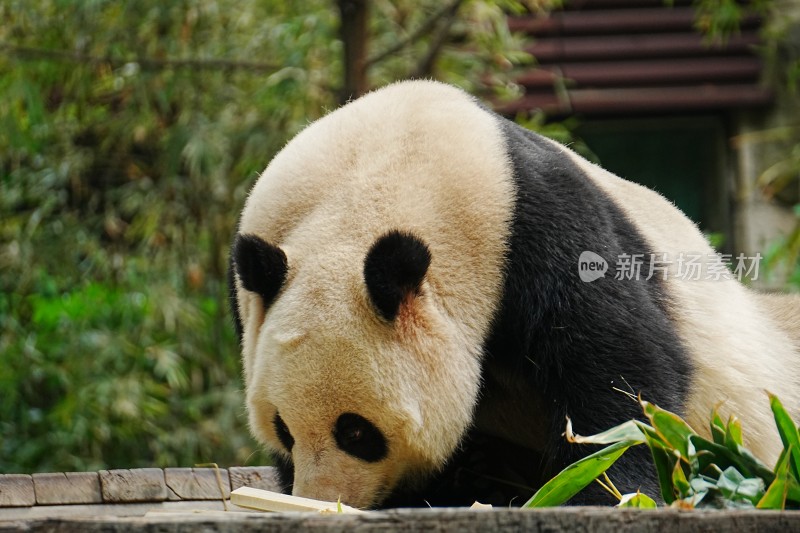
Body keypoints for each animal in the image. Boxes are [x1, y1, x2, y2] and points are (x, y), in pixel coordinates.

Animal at [227, 79, 800, 508]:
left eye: (356, 433)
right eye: (283, 429)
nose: (324, 497)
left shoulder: (535, 224)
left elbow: (620, 367)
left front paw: (605, 487)